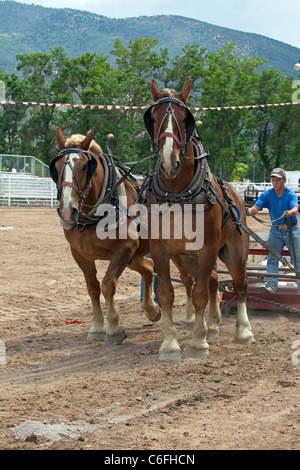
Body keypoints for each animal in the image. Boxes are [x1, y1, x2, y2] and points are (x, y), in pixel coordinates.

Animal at [49, 126, 162, 344]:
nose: (67, 211)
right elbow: (92, 287)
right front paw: (97, 327)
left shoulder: (124, 249)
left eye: (85, 167)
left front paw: (114, 327)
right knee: (148, 267)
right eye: (56, 168)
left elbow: (108, 284)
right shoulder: (80, 254)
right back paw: (152, 309)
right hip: (135, 256)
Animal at [144, 80, 255, 360]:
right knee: (214, 279)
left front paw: (197, 342)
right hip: (186, 258)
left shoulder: (207, 249)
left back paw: (243, 331)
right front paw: (170, 343)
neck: (178, 193)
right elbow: (167, 293)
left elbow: (200, 294)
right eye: (154, 118)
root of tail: (236, 194)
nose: (169, 163)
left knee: (239, 284)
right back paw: (212, 324)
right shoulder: (160, 250)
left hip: (234, 252)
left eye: (185, 119)